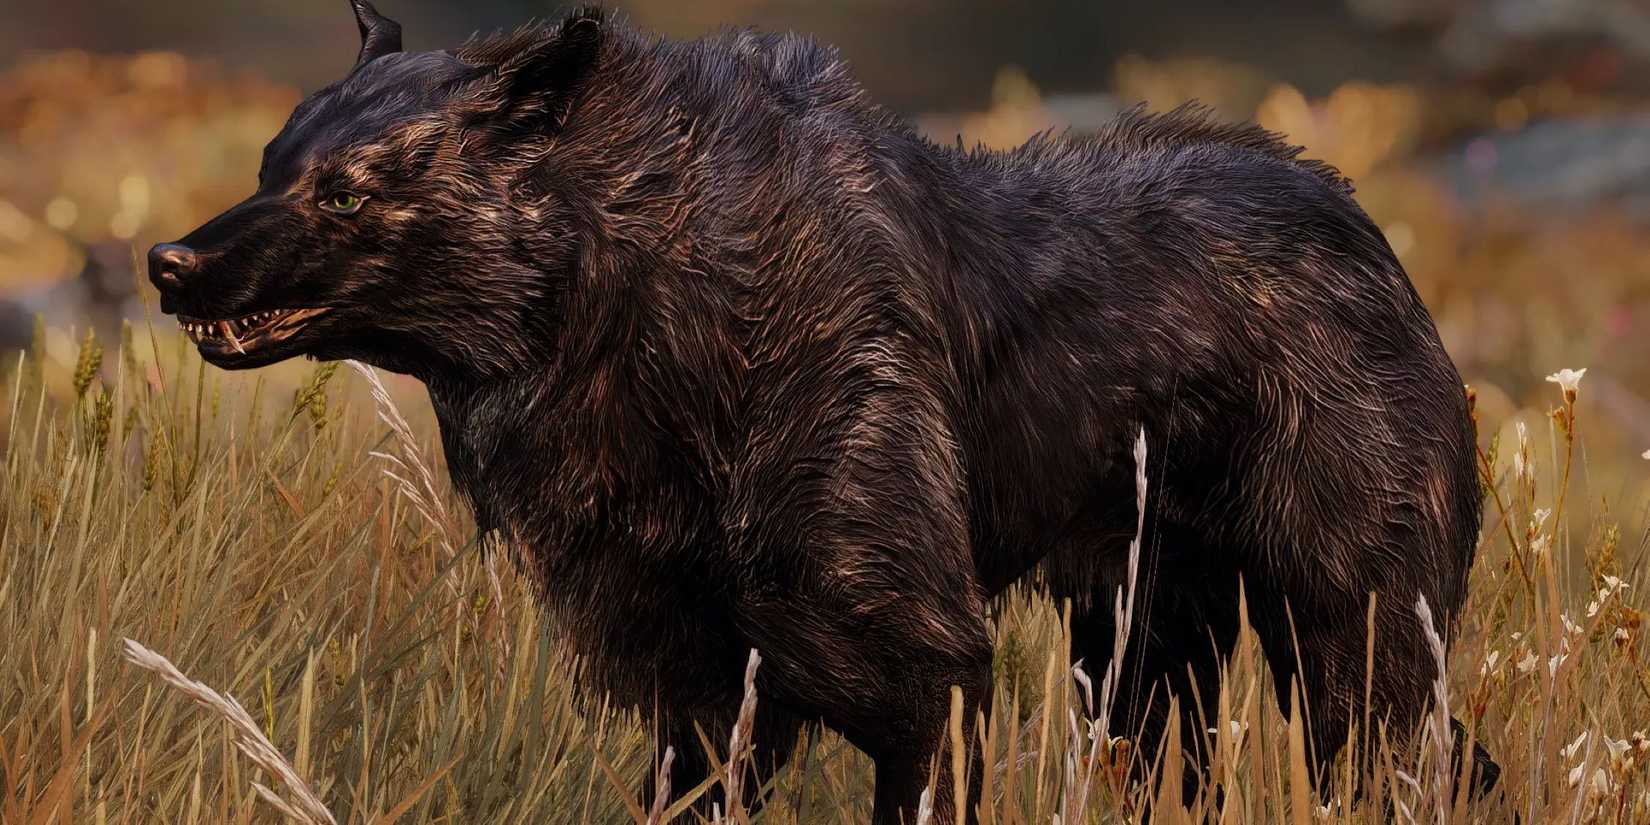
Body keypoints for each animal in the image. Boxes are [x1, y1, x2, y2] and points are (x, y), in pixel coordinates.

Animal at [149, 2, 1499, 821]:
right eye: (269, 161)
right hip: (1141, 646)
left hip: (1346, 630)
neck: (643, 316)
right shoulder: (693, 679)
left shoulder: (918, 663)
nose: (169, 261)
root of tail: (1374, 239)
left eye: (344, 191)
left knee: (1418, 756)